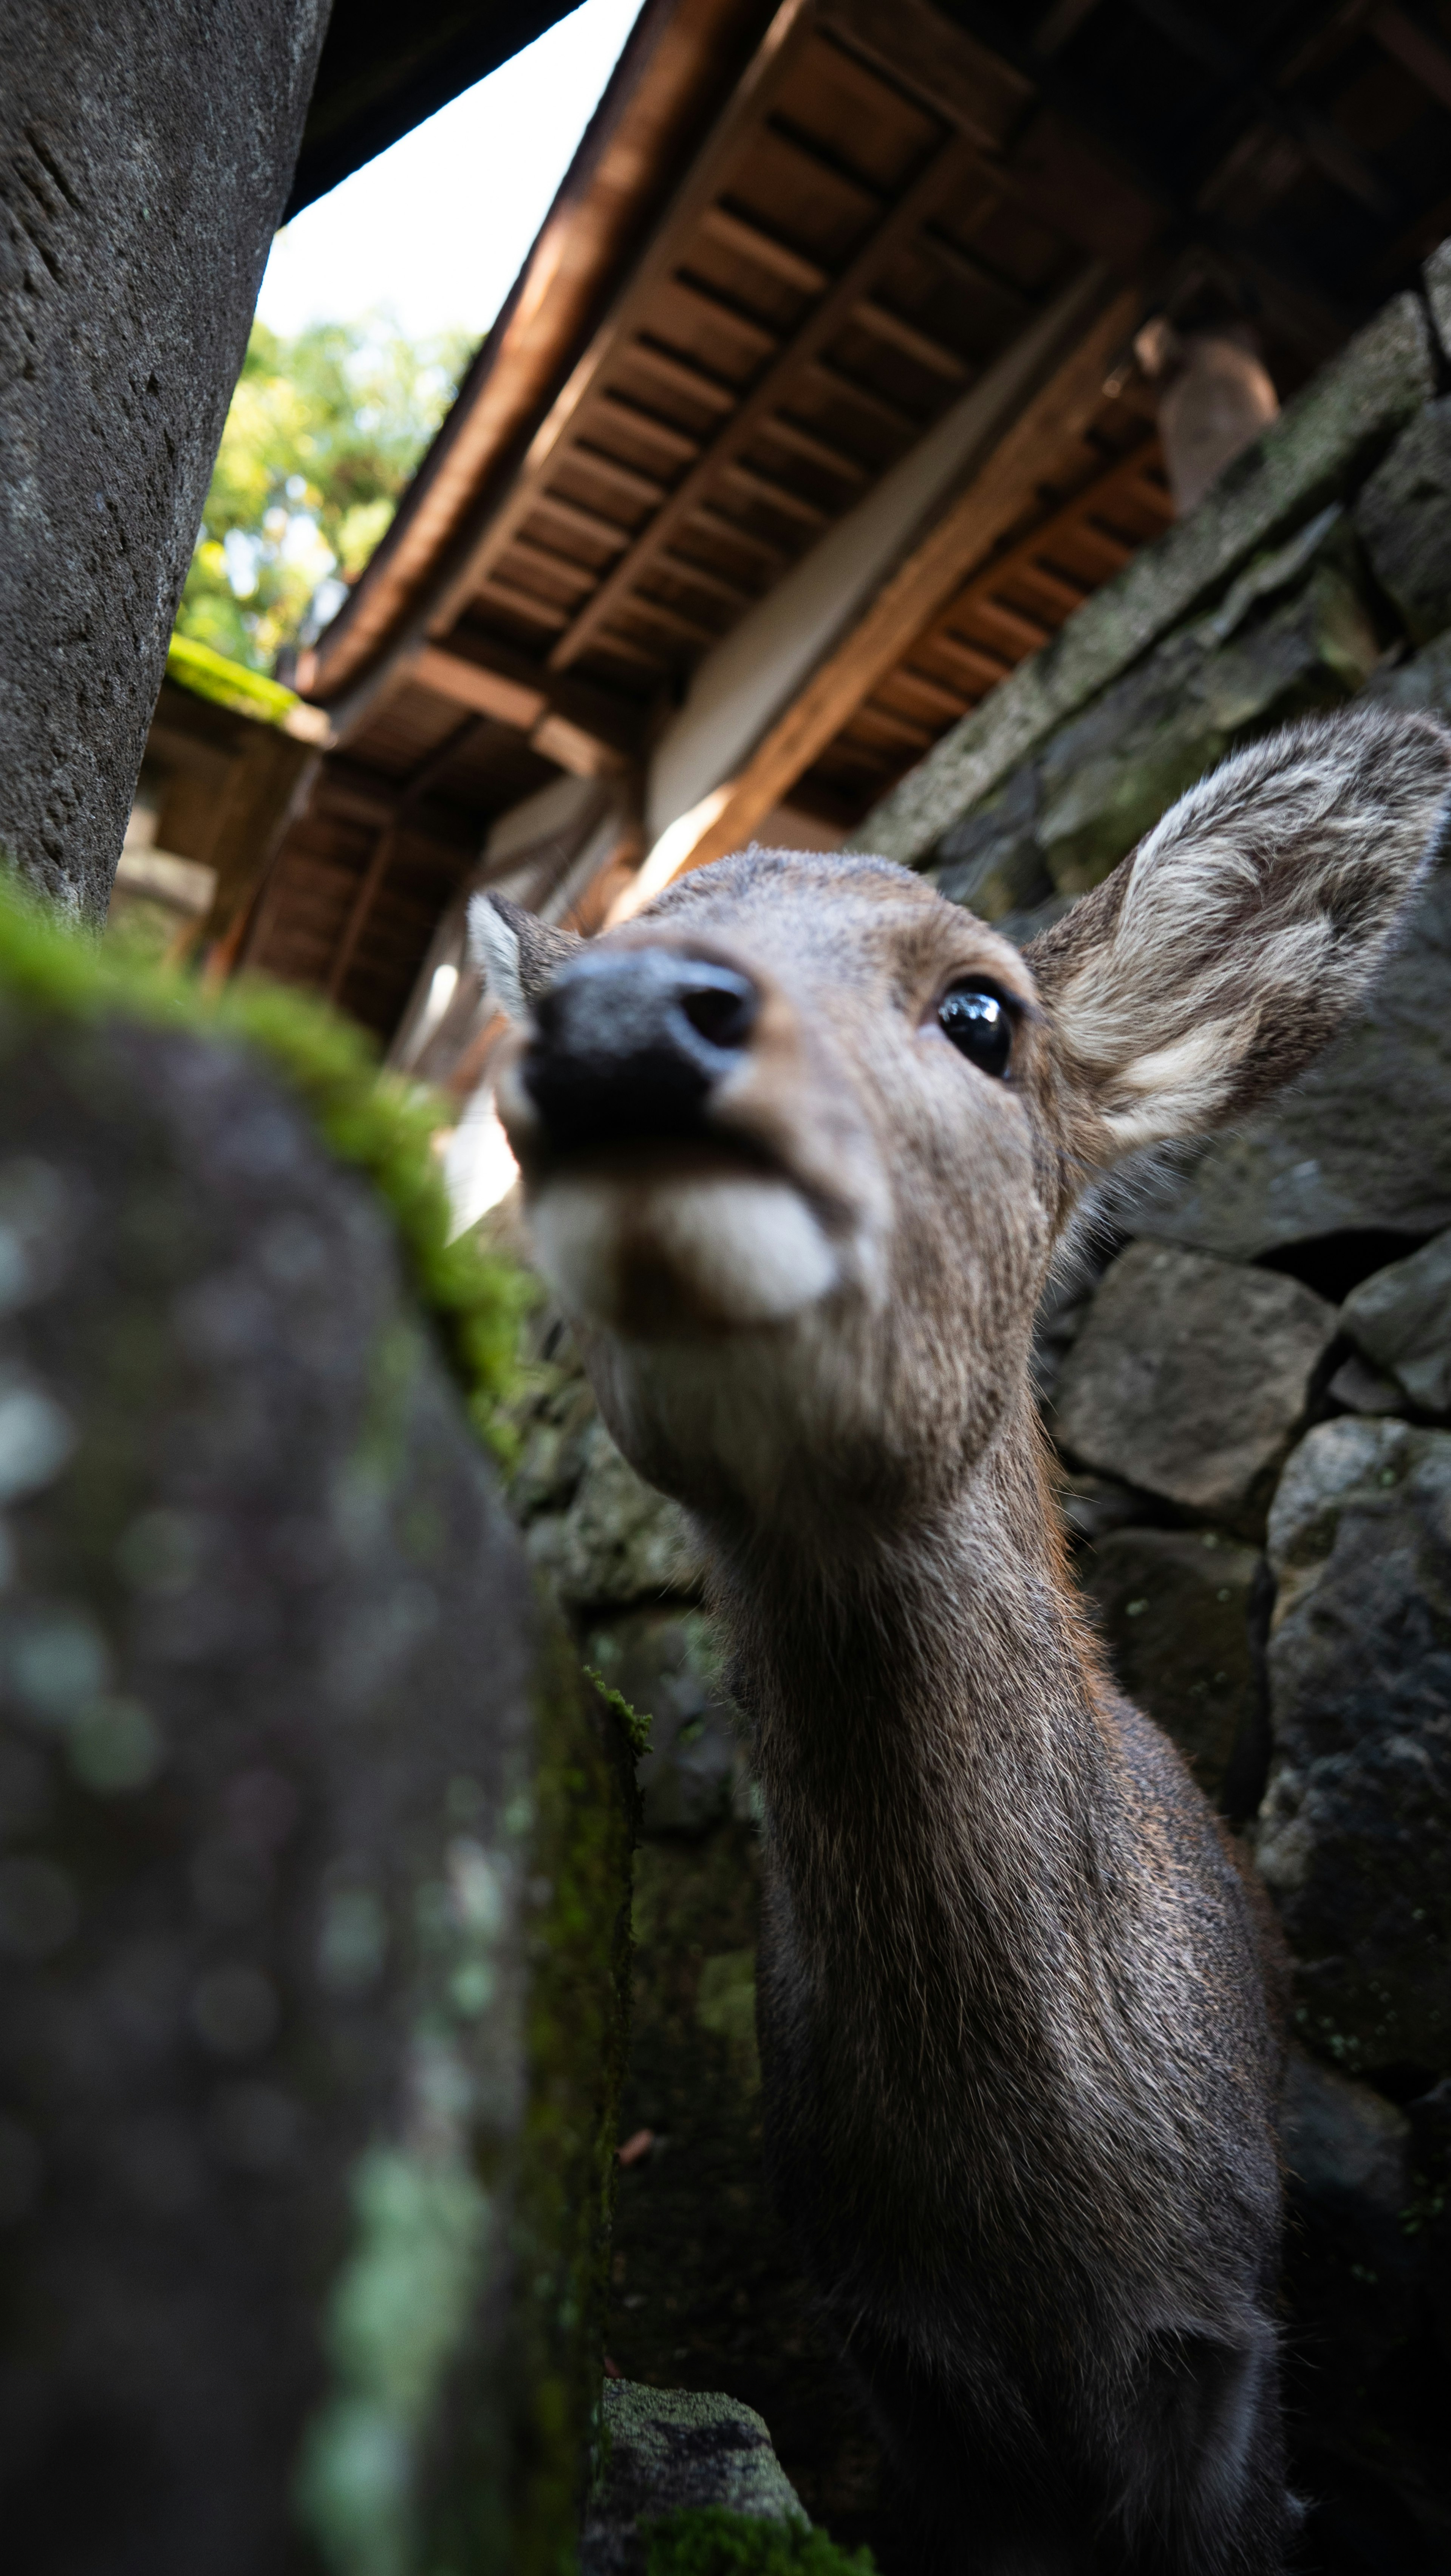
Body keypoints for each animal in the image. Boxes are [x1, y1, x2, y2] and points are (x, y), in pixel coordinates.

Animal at [472, 705, 1443, 2576]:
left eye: (983, 1009)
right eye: (535, 1023)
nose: (620, 1022)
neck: (1030, 2247)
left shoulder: (1225, 2344)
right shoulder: (896, 2371)